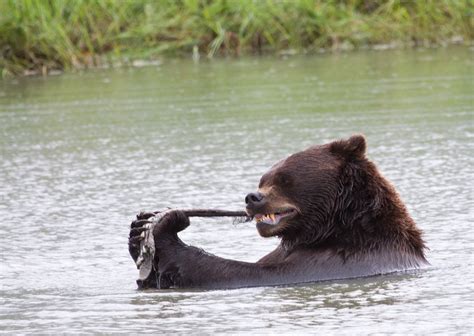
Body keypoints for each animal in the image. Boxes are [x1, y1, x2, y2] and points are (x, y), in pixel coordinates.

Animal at [128, 134, 428, 288]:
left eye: (284, 178)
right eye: (263, 179)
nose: (252, 197)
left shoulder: (341, 260)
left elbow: (248, 273)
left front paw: (168, 225)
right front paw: (138, 230)